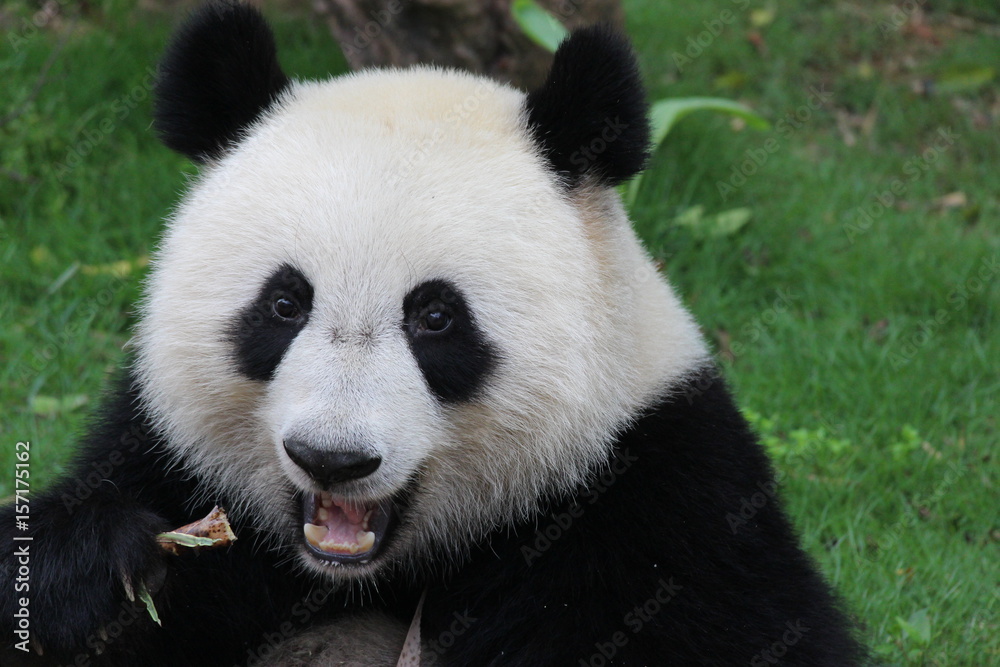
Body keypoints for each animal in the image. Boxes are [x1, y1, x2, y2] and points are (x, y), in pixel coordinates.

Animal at [1, 2, 865, 665]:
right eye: (283, 304)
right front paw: (94, 568)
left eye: (436, 317)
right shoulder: (162, 451)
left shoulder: (660, 497)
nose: (333, 458)